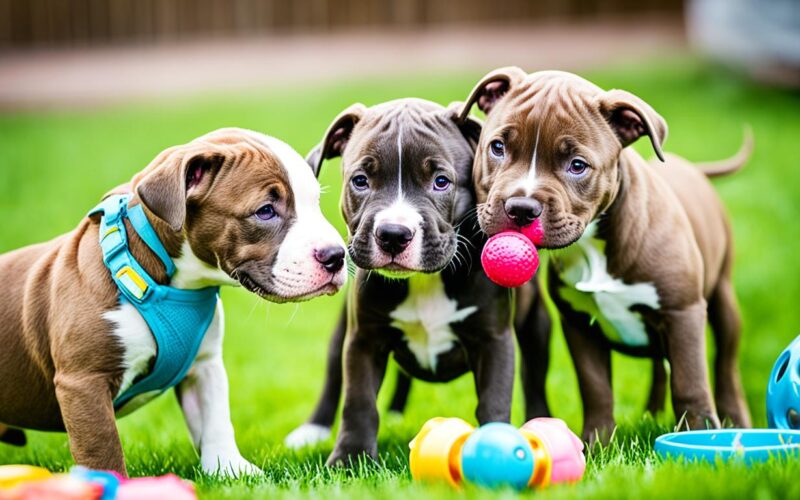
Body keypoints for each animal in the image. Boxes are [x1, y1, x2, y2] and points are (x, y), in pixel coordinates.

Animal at [0, 128, 346, 476]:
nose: (336, 256)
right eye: (265, 210)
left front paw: (230, 468)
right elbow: (101, 446)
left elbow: (216, 418)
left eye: (315, 202)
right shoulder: (84, 382)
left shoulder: (205, 363)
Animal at [296, 99, 552, 466]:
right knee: (334, 373)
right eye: (360, 180)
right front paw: (351, 458)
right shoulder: (364, 339)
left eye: (441, 181)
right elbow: (358, 401)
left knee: (535, 378)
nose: (392, 234)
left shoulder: (494, 340)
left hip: (537, 325)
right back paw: (314, 429)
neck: (423, 281)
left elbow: (494, 400)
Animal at [460, 66, 752, 442]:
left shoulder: (683, 313)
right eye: (497, 147)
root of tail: (690, 167)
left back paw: (735, 418)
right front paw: (596, 443)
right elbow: (595, 387)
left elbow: (690, 382)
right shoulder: (578, 323)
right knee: (661, 366)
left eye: (577, 165)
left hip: (722, 299)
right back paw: (651, 413)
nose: (521, 208)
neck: (592, 247)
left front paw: (700, 436)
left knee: (726, 364)